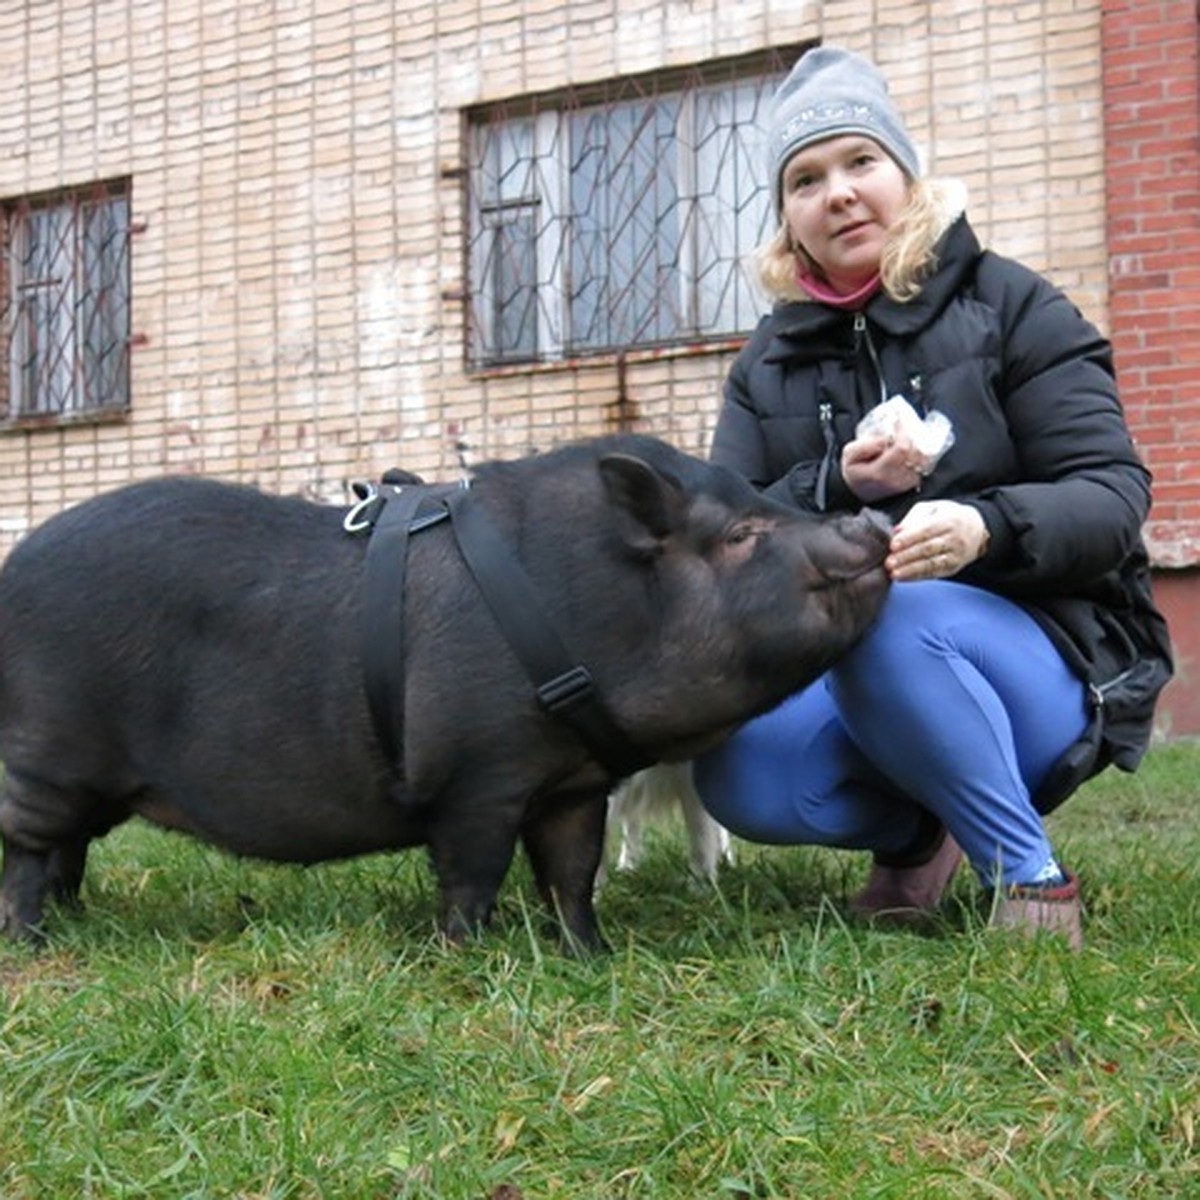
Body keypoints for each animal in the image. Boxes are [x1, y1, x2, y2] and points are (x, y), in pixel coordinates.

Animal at [2, 436, 892, 950]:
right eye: (741, 536)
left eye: (763, 500)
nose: (872, 524)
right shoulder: (478, 775)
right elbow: (474, 874)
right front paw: (463, 954)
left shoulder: (573, 782)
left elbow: (571, 873)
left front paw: (589, 953)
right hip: (47, 756)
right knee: (29, 848)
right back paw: (33, 942)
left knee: (69, 849)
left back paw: (75, 921)